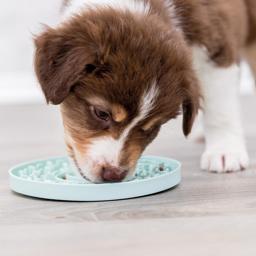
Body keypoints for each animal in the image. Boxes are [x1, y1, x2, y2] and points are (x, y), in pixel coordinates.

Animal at [34, 0, 256, 182]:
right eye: (101, 113)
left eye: (151, 128)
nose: (113, 175)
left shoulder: (215, 46)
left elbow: (221, 108)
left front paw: (226, 152)